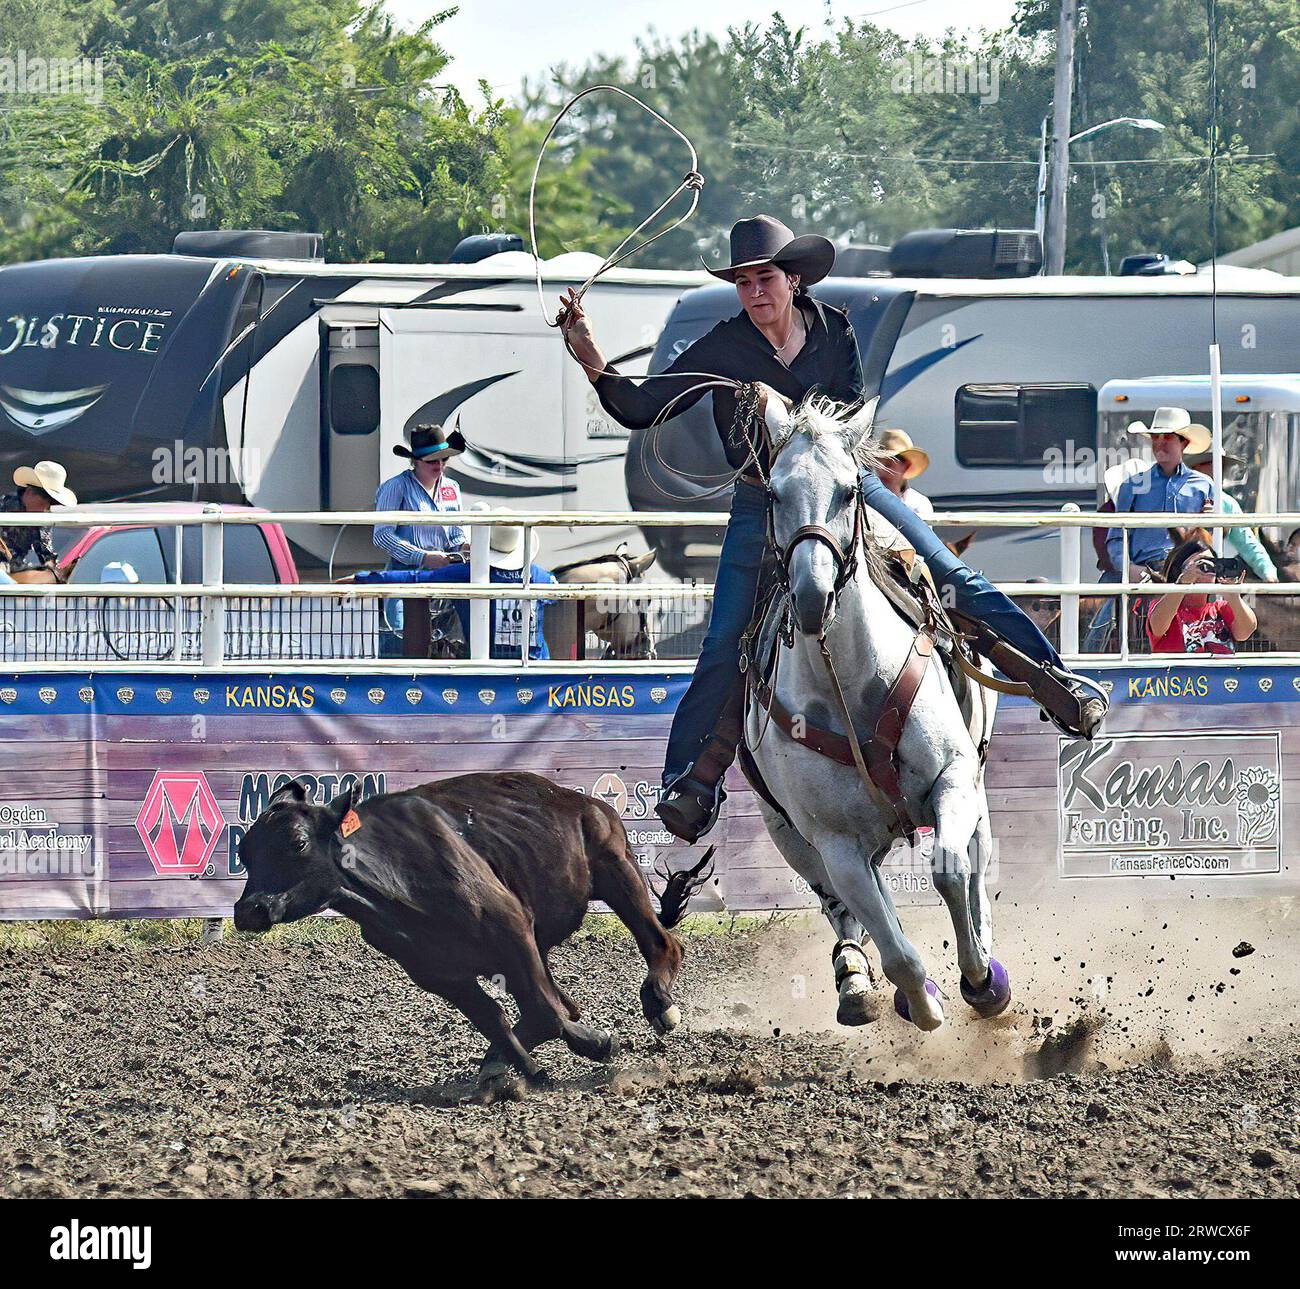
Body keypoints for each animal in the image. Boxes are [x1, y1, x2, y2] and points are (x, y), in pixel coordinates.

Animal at [743, 387, 1003, 1034]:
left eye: (848, 490)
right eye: (774, 493)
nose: (812, 596)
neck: (852, 686)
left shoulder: (953, 777)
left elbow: (950, 870)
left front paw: (980, 979)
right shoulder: (836, 844)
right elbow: (896, 951)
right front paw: (924, 1001)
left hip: (975, 780)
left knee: (977, 862)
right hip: (793, 837)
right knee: (846, 913)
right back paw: (855, 981)